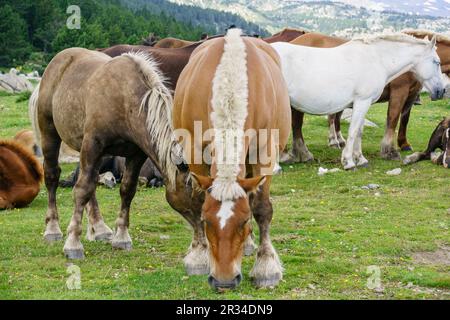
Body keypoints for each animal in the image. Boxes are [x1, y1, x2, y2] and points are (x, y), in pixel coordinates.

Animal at [272, 33, 444, 170]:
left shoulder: (363, 103)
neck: (377, 60)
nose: (441, 91)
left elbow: (359, 132)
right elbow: (353, 131)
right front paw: (348, 161)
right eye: (436, 62)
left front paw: (360, 159)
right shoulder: (363, 101)